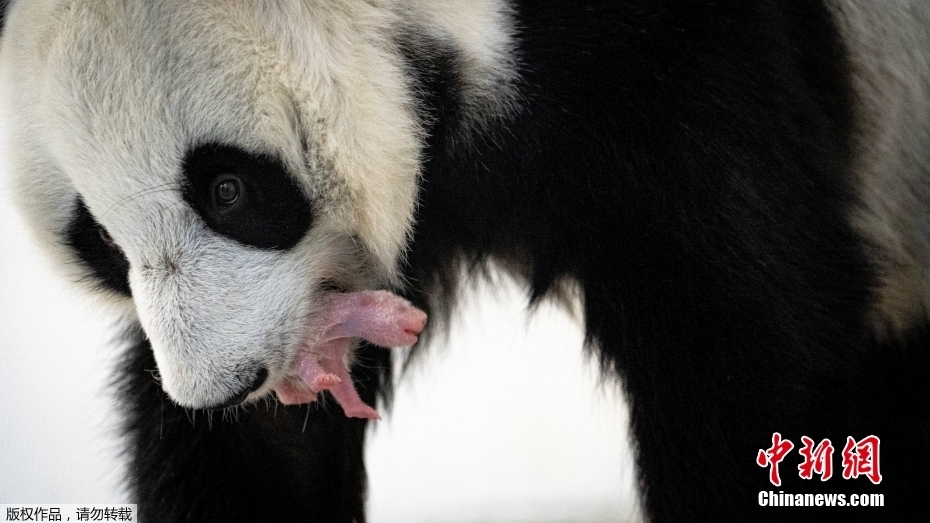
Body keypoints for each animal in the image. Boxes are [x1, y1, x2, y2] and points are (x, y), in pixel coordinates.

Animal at [2, 0, 929, 521]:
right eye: (101, 241)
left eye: (228, 188)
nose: (223, 387)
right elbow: (261, 456)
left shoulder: (678, 69)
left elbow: (744, 340)